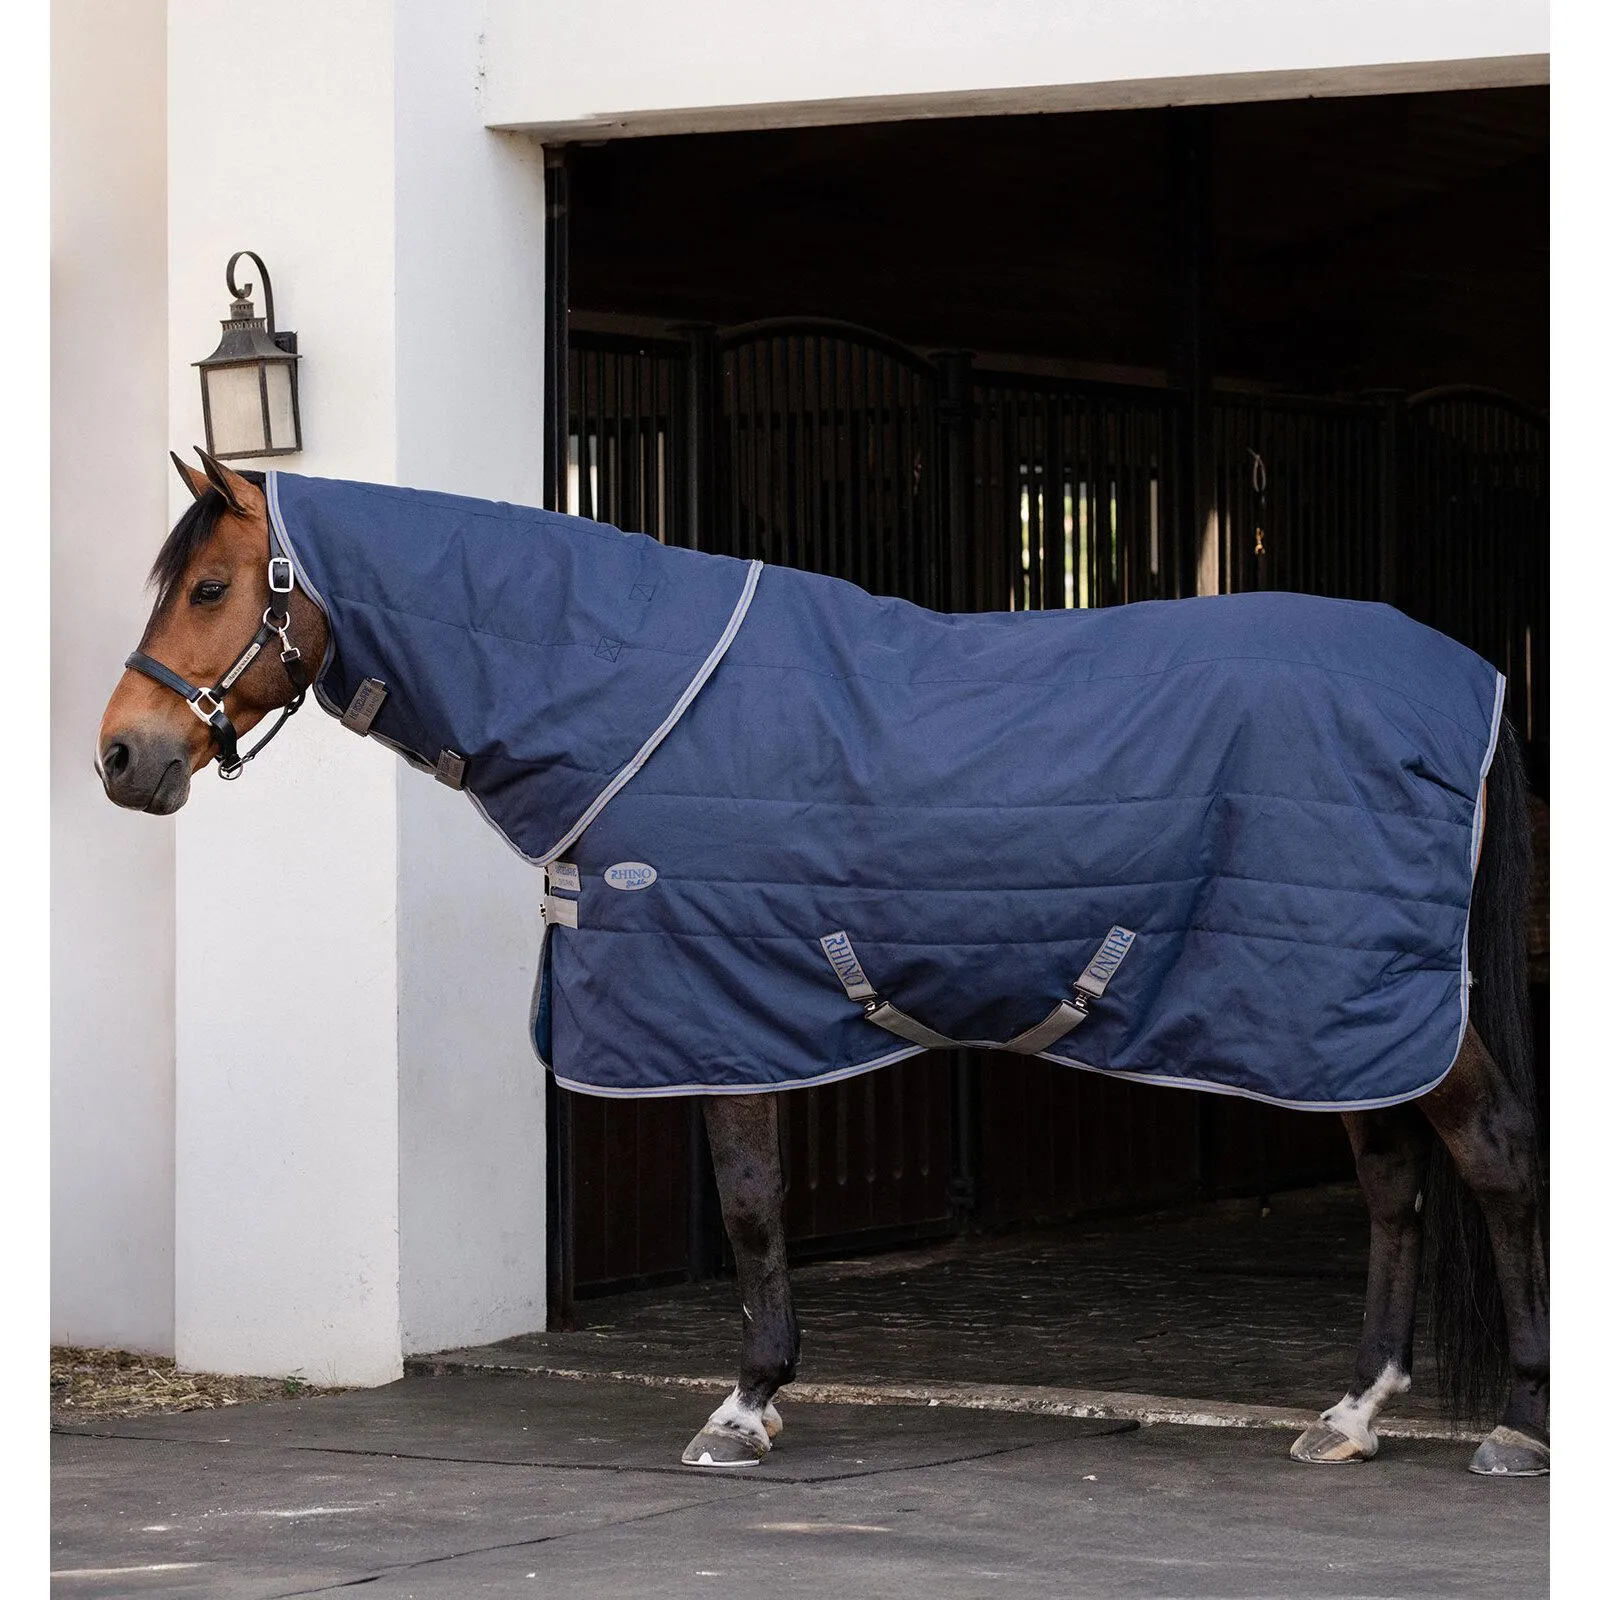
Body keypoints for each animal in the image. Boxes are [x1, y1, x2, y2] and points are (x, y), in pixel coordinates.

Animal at [97, 449, 1549, 1477]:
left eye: (213, 588)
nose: (121, 755)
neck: (632, 700)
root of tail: (1469, 678)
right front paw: (762, 1395)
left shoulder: (723, 1004)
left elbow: (748, 1203)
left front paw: (745, 1407)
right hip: (1330, 1017)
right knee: (1395, 1183)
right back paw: (1350, 1414)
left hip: (1362, 1002)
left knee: (1489, 1155)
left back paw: (1517, 1425)